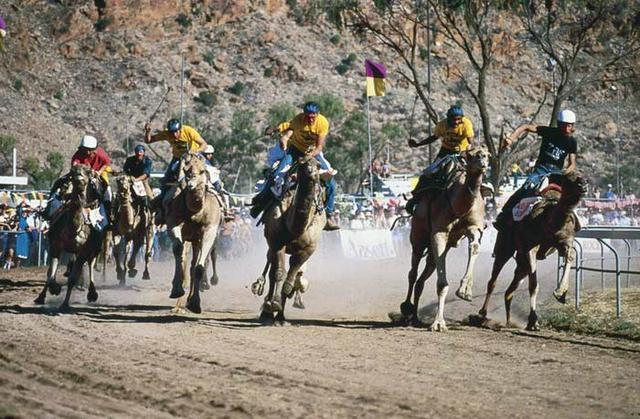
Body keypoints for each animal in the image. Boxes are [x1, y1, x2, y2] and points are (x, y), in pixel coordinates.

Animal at [33, 166, 107, 310]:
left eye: (87, 172)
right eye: (73, 171)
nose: (79, 175)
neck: (74, 228)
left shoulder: (84, 251)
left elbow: (72, 278)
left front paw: (65, 304)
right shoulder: (55, 245)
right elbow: (50, 274)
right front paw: (53, 290)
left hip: (94, 248)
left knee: (91, 263)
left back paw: (92, 293)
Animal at [164, 153, 221, 314]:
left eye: (202, 171)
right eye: (186, 170)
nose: (190, 184)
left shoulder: (209, 230)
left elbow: (199, 267)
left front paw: (195, 303)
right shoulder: (173, 222)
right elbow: (178, 249)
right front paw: (177, 290)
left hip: (198, 239)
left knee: (195, 263)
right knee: (184, 257)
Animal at [258, 154, 324, 324]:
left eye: (318, 165)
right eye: (302, 165)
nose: (311, 172)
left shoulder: (308, 248)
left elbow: (291, 279)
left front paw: (281, 316)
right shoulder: (277, 243)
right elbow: (279, 273)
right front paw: (273, 304)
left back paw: (279, 316)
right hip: (271, 245)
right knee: (272, 271)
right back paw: (267, 312)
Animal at [400, 148, 490, 332]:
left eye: (486, 154)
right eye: (472, 155)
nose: (483, 162)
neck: (458, 204)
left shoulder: (473, 228)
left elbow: (475, 246)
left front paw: (465, 291)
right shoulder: (439, 233)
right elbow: (442, 284)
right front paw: (438, 323)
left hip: (435, 252)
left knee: (422, 278)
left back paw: (415, 318)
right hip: (418, 237)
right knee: (413, 273)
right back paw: (406, 309)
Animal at [480, 171, 584, 332]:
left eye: (582, 176)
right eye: (568, 179)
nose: (582, 185)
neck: (548, 220)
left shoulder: (565, 242)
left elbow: (570, 256)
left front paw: (561, 293)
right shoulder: (530, 248)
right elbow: (534, 286)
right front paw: (533, 322)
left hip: (521, 262)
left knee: (510, 290)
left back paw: (508, 322)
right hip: (506, 247)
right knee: (493, 280)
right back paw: (483, 314)